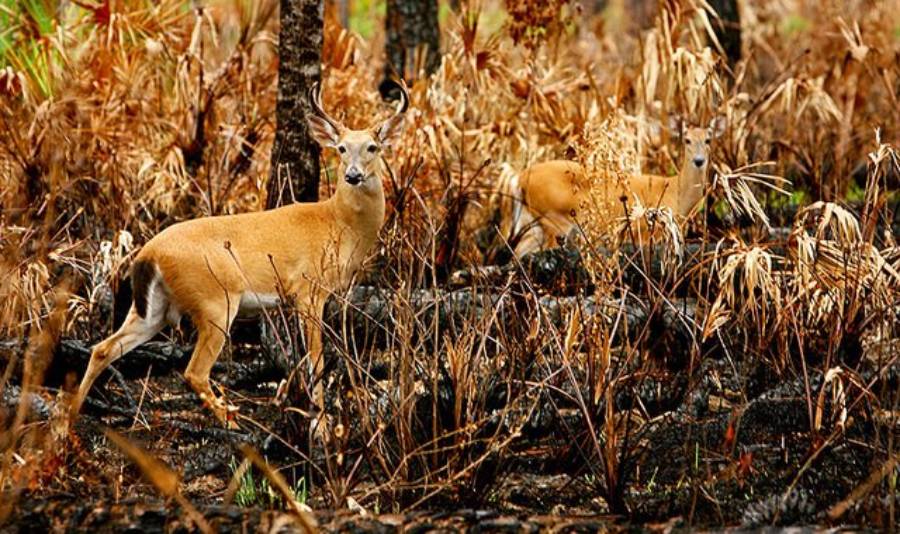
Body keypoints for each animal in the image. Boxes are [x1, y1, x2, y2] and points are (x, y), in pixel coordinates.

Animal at [71, 82, 409, 428]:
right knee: (194, 371)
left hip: (155, 309)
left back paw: (70, 419)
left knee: (103, 348)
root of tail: (148, 253)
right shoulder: (309, 290)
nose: (353, 175)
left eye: (373, 147)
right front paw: (321, 426)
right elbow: (315, 360)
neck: (339, 224)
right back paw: (233, 422)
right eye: (341, 148)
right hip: (216, 301)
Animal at [496, 120, 723, 257]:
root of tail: (519, 178)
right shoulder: (647, 229)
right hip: (555, 218)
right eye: (687, 140)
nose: (699, 160)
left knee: (518, 253)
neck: (675, 192)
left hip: (535, 221)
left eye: (708, 140)